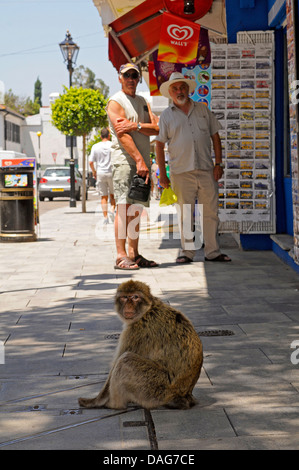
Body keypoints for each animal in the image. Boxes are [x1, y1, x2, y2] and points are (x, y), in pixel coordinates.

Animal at [78, 280, 204, 410]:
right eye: (124, 297)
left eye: (135, 297)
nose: (129, 305)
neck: (147, 310)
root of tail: (184, 395)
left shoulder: (136, 331)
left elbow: (117, 363)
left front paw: (95, 401)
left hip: (155, 389)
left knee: (125, 360)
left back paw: (114, 405)